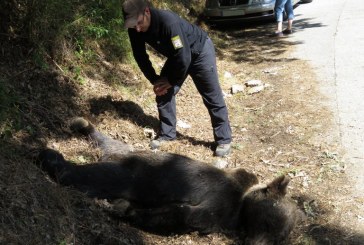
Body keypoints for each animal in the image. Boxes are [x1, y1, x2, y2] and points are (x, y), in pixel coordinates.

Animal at [35, 117, 300, 244]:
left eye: (278, 238)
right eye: (268, 223)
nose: (256, 243)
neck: (243, 202)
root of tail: (115, 156)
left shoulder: (221, 216)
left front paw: (123, 208)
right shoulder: (222, 199)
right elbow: (187, 214)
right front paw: (124, 210)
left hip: (122, 153)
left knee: (105, 142)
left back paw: (82, 125)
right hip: (133, 174)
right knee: (88, 177)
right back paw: (50, 155)